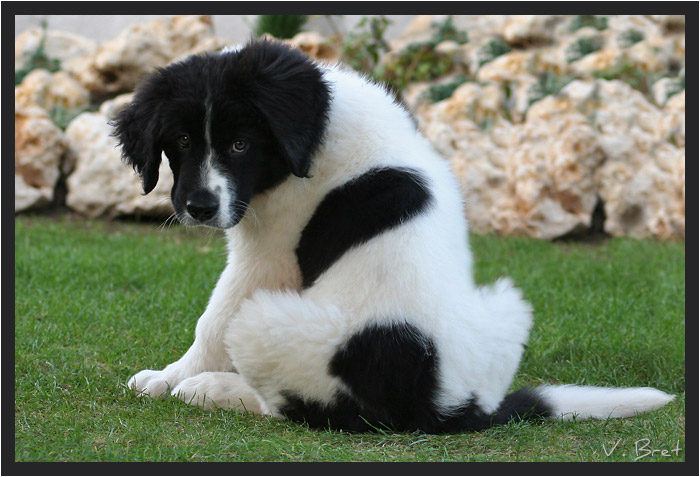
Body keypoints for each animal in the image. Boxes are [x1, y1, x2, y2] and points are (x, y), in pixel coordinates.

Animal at [113, 39, 672, 430]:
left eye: (240, 144)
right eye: (182, 140)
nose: (199, 208)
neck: (317, 131)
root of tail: (449, 403)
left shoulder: (265, 258)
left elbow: (211, 322)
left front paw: (168, 379)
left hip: (269, 324)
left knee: (302, 405)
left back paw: (211, 390)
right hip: (507, 306)